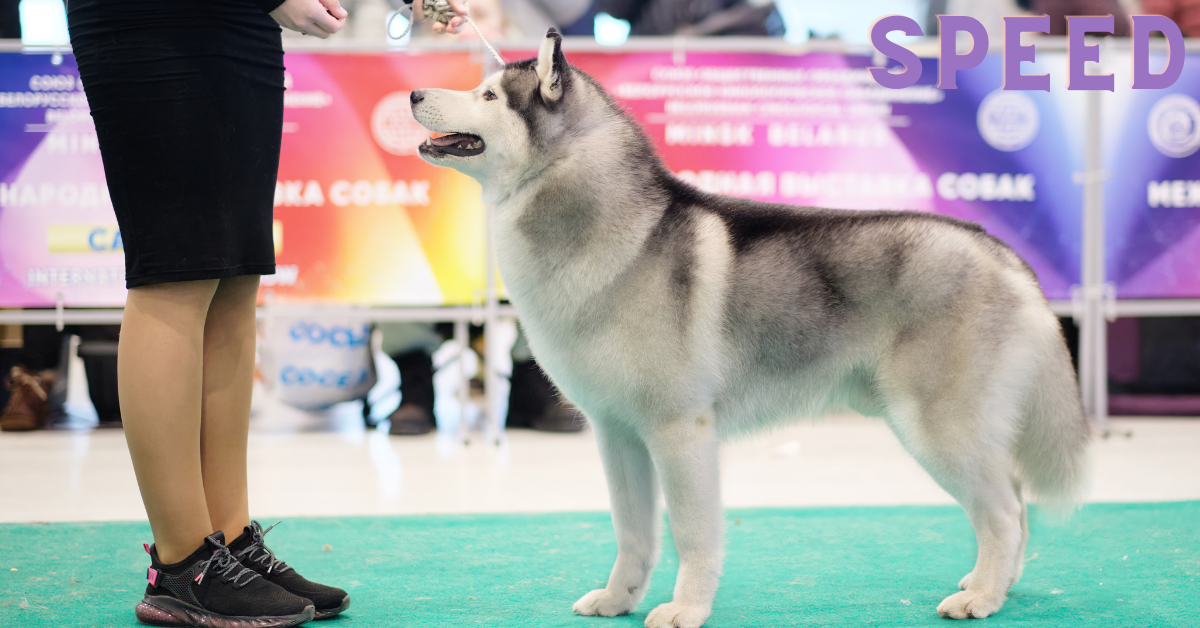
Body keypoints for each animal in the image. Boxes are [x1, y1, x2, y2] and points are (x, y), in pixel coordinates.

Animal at [412, 29, 1089, 628]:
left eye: (489, 95)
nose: (414, 94)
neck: (612, 230)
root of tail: (999, 251)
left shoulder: (679, 431)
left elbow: (690, 533)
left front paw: (686, 610)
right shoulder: (617, 433)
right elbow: (633, 533)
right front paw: (617, 599)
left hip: (937, 426)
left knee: (1004, 510)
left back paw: (983, 599)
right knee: (1014, 503)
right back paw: (993, 583)